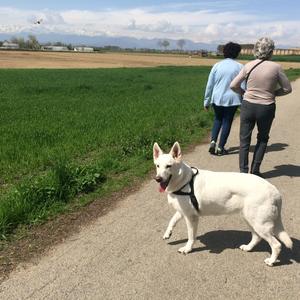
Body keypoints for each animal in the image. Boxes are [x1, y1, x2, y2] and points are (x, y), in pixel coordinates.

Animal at [154, 142, 292, 266]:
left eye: (169, 166)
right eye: (157, 166)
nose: (158, 179)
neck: (185, 181)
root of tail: (275, 191)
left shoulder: (191, 217)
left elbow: (191, 236)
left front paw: (187, 249)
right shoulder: (183, 212)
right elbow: (172, 221)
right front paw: (168, 233)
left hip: (259, 224)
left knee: (276, 245)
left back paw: (271, 261)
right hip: (250, 220)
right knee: (257, 237)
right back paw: (248, 247)